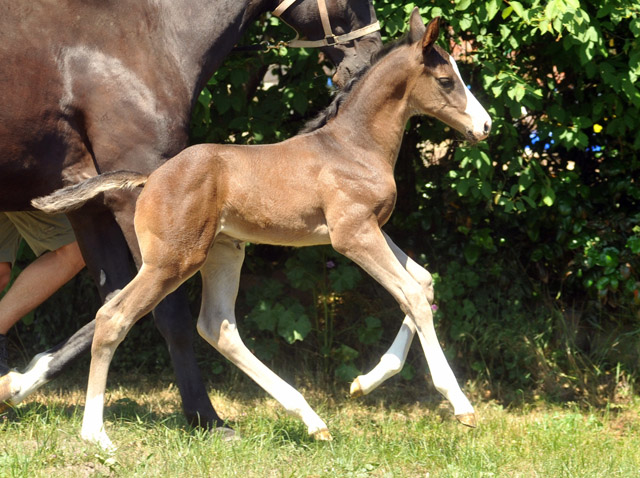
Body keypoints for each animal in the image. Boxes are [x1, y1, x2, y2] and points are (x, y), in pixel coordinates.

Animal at [0, 0, 380, 432]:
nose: (371, 54)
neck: (144, 37)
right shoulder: (133, 195)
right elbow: (169, 314)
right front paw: (206, 417)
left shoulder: (89, 206)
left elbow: (113, 300)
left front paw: (17, 384)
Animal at [32, 8, 492, 448]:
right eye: (447, 80)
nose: (485, 126)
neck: (354, 146)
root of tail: (151, 178)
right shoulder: (353, 235)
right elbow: (411, 294)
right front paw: (460, 405)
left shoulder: (373, 228)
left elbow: (424, 283)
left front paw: (364, 382)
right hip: (171, 261)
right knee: (114, 316)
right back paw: (95, 433)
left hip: (223, 251)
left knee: (217, 325)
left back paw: (311, 419)